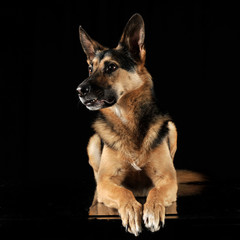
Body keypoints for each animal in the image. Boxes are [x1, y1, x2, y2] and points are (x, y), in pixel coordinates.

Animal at [77, 14, 178, 235]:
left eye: (111, 67)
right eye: (90, 68)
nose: (79, 90)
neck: (128, 122)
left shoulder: (168, 179)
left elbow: (156, 191)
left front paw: (152, 209)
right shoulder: (107, 182)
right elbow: (123, 192)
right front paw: (132, 210)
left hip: (172, 129)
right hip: (93, 141)